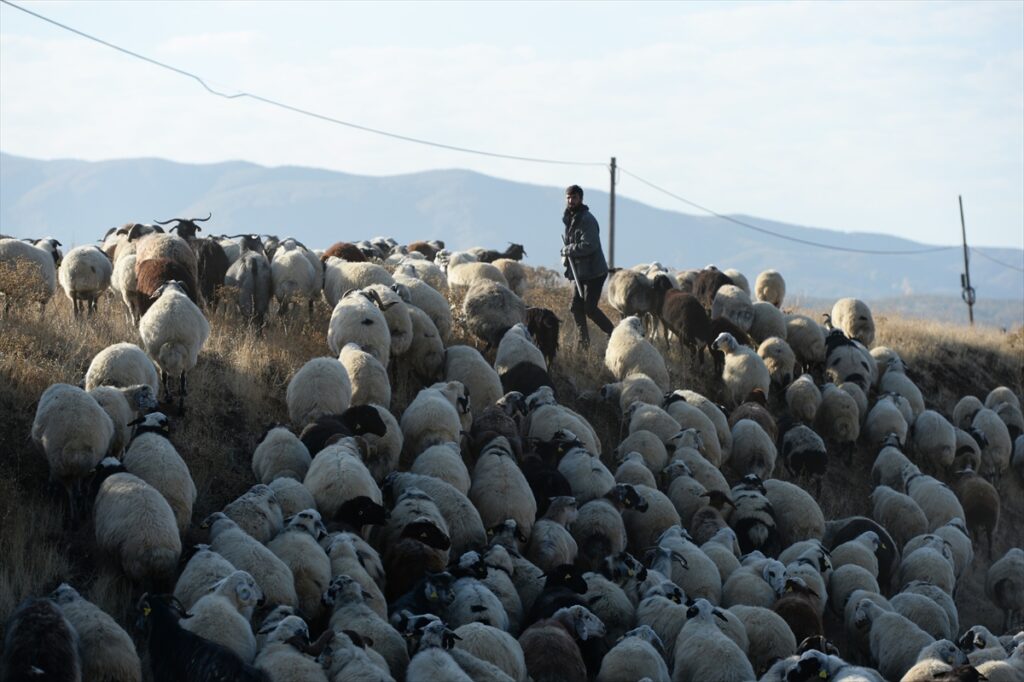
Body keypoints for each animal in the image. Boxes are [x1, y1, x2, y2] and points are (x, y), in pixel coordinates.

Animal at [32, 382, 115, 520]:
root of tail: (77, 445)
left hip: (61, 467)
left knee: (71, 492)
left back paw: (73, 514)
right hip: (90, 466)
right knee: (82, 488)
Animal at [138, 280, 209, 411]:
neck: (171, 291)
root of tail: (173, 334)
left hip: (156, 353)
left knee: (164, 376)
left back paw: (169, 397)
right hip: (190, 354)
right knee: (181, 378)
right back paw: (181, 404)